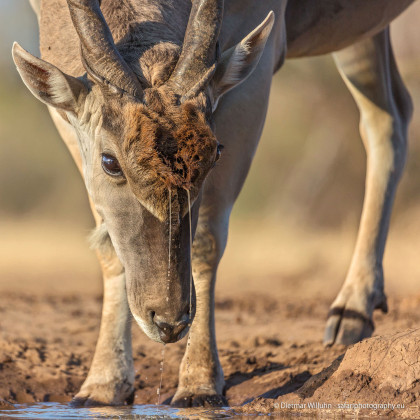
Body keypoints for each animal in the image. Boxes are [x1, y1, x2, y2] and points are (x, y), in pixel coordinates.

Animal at [14, 0, 416, 406]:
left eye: (214, 154)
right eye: (109, 161)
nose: (169, 321)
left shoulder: (251, 82)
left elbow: (206, 240)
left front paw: (199, 383)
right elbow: (109, 247)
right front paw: (103, 385)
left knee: (386, 117)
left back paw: (351, 310)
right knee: (391, 112)